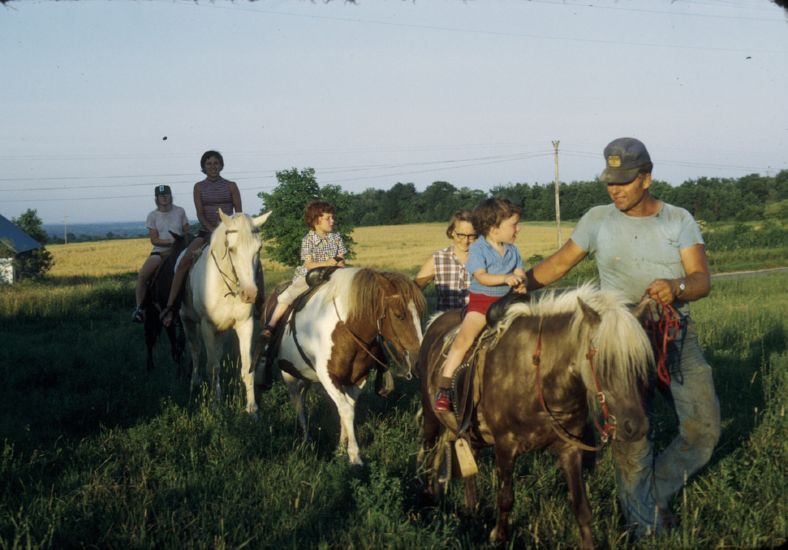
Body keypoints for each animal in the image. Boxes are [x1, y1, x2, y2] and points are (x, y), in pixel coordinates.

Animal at [182, 211, 270, 414]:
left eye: (259, 248)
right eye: (231, 249)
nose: (250, 294)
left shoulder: (245, 324)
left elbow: (246, 368)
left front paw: (252, 407)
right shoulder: (206, 327)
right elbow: (212, 367)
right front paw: (215, 405)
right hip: (187, 321)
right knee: (195, 351)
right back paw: (194, 383)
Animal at [262, 268, 428, 466]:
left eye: (421, 313)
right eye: (398, 315)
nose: (418, 362)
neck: (345, 329)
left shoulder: (358, 378)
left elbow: (348, 408)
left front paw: (342, 448)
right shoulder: (328, 377)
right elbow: (347, 411)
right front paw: (354, 456)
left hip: (304, 376)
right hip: (289, 375)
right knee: (298, 403)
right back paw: (307, 439)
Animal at [418, 286, 652, 548]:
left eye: (639, 363)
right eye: (604, 362)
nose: (636, 427)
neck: (537, 377)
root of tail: (434, 321)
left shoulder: (570, 448)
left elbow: (581, 507)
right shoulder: (505, 445)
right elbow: (506, 498)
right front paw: (499, 537)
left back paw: (469, 507)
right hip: (430, 415)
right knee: (429, 450)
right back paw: (427, 496)